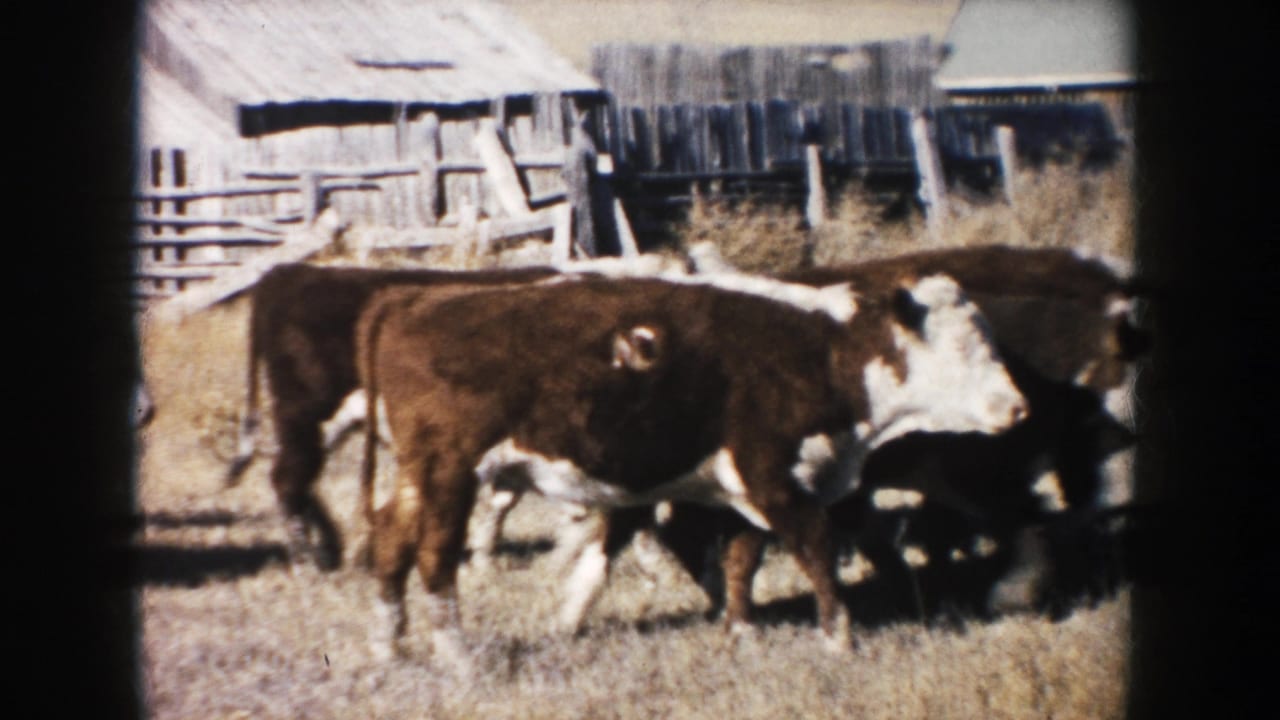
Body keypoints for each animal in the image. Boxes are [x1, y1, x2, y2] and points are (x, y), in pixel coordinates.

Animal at [356, 269, 1027, 664]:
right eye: (962, 346)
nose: (1018, 407)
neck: (823, 352)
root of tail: (412, 297)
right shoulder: (774, 477)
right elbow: (813, 548)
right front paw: (839, 637)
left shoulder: (743, 489)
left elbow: (741, 559)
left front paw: (741, 632)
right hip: (450, 471)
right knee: (435, 554)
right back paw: (457, 655)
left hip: (419, 475)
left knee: (391, 540)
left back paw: (391, 645)